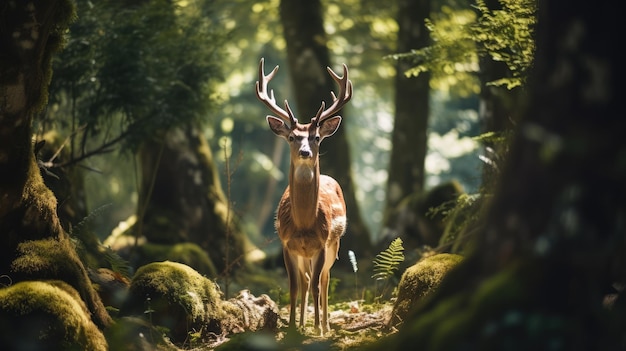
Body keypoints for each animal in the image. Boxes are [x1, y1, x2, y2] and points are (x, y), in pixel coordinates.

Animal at [254, 57, 352, 336]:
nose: (306, 152)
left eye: (316, 137)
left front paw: (317, 328)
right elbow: (294, 286)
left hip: (334, 245)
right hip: (303, 255)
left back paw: (325, 325)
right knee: (306, 280)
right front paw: (290, 327)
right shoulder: (286, 245)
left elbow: (319, 284)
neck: (304, 225)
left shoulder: (321, 244)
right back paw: (300, 323)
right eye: (291, 137)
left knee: (324, 280)